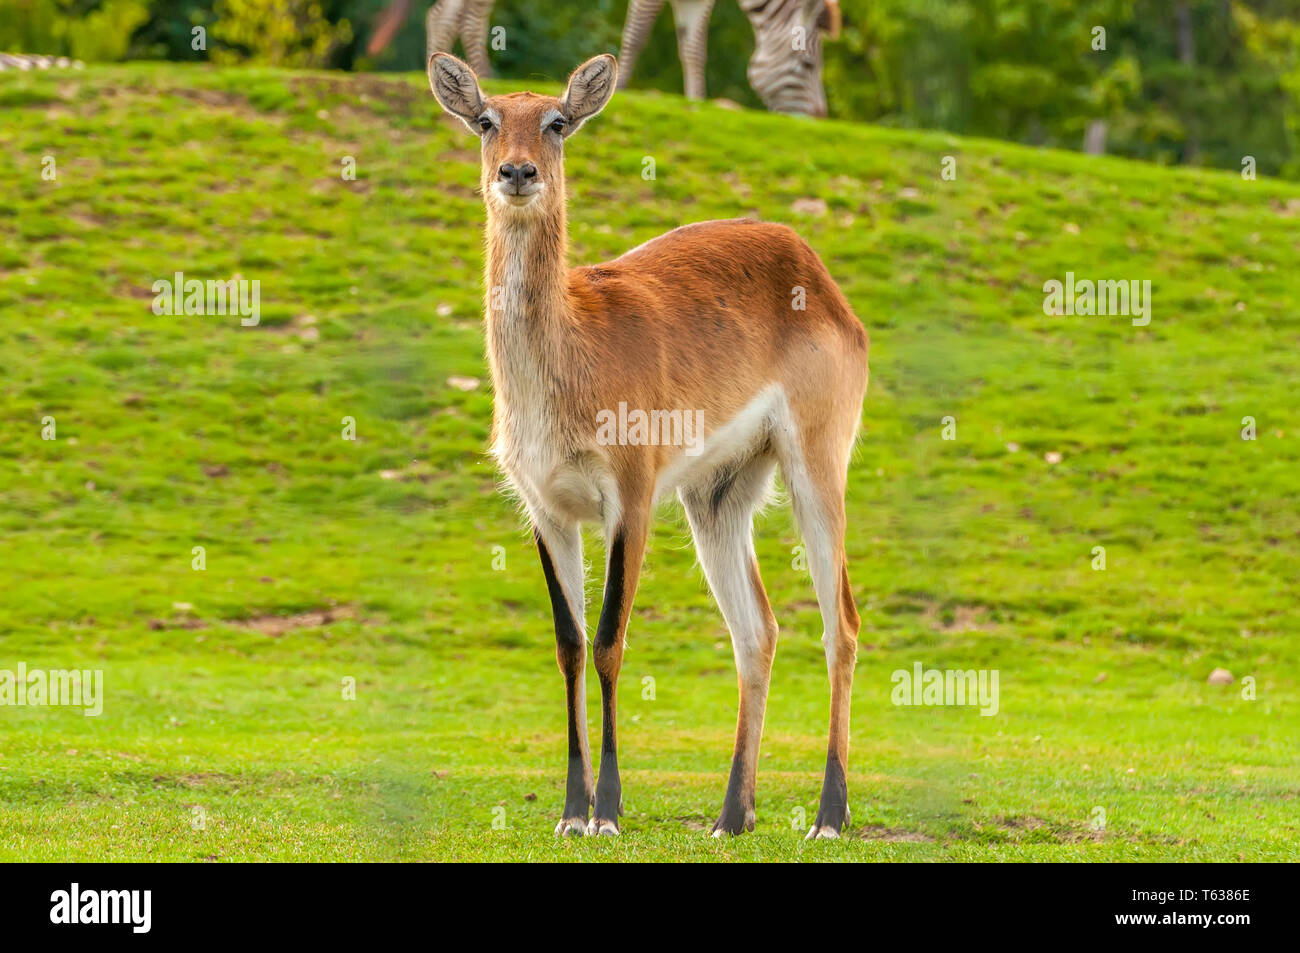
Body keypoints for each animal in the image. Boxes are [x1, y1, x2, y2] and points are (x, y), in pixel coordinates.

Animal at [431, 53, 868, 842]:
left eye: (557, 121)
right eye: (485, 119)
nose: (517, 172)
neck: (570, 357)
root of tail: (812, 265)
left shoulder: (628, 500)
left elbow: (609, 640)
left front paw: (607, 811)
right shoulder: (547, 509)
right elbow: (569, 644)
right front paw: (571, 811)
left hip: (816, 466)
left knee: (839, 624)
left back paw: (828, 816)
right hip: (717, 497)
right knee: (757, 630)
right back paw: (732, 815)